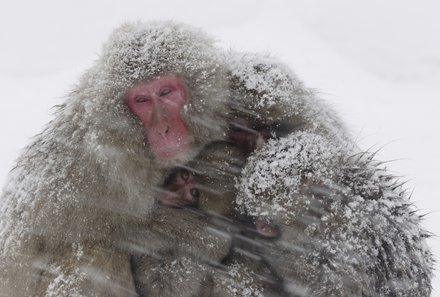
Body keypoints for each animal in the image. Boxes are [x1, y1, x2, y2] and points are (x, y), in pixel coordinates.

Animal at [0, 22, 234, 294]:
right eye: (142, 100)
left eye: (165, 92)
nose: (164, 129)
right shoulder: (97, 166)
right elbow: (109, 227)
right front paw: (206, 237)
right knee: (94, 252)